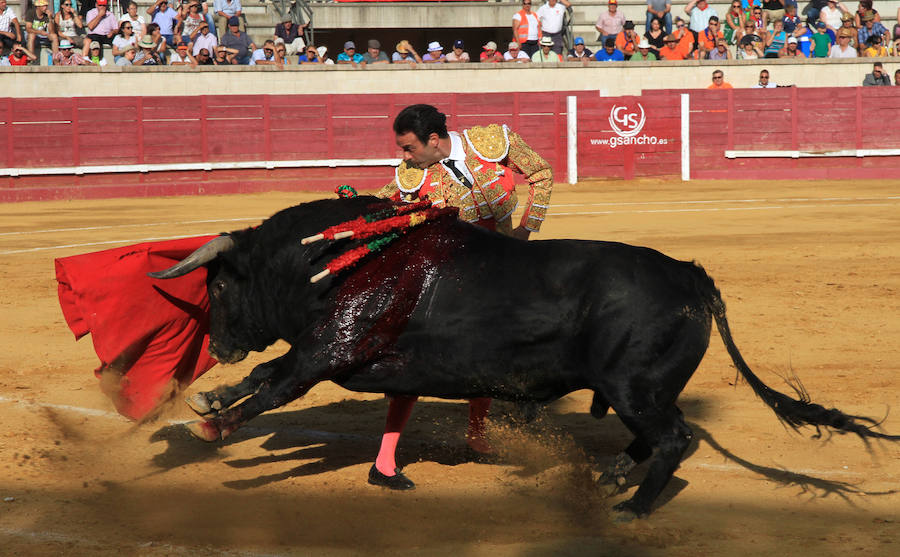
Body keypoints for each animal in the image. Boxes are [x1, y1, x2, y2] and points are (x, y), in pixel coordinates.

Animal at [151, 195, 896, 516]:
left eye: (219, 286)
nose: (216, 346)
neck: (343, 259)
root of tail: (691, 275)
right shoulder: (352, 356)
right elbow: (278, 380)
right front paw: (207, 406)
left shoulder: (329, 348)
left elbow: (273, 380)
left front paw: (210, 419)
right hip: (638, 388)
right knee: (660, 434)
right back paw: (609, 480)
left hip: (634, 384)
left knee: (675, 438)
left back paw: (631, 509)